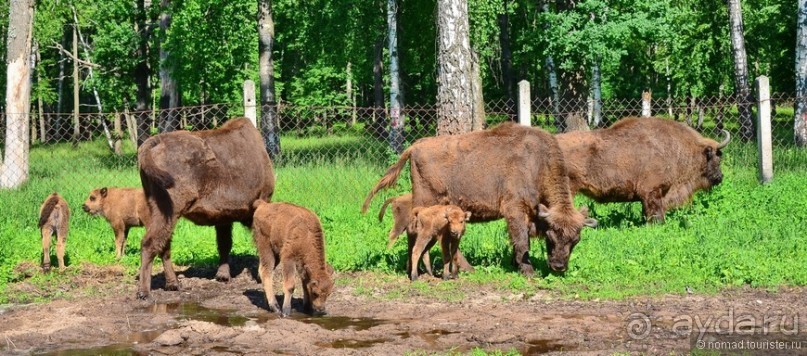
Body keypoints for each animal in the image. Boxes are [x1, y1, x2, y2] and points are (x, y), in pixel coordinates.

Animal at [137, 118, 276, 298]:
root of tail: (156, 141)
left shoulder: (223, 218)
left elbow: (224, 244)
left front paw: (223, 276)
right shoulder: (260, 203)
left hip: (159, 210)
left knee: (164, 245)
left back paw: (174, 284)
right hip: (170, 211)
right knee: (150, 243)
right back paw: (144, 292)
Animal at [362, 122, 596, 276]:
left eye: (576, 240)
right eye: (551, 236)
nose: (559, 267)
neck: (538, 164)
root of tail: (414, 146)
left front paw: (515, 264)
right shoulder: (514, 209)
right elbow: (522, 241)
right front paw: (528, 271)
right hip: (428, 203)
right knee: (420, 234)